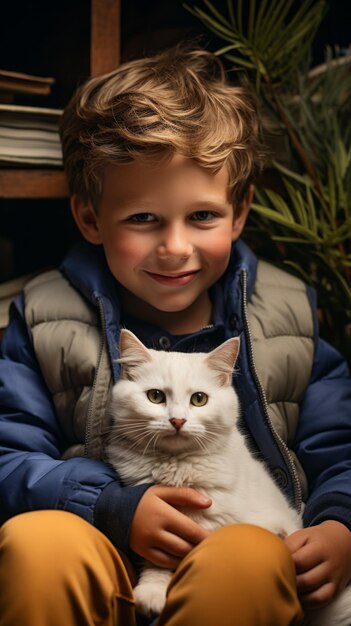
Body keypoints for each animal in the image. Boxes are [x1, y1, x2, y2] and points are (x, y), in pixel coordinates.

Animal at [106, 330, 351, 620]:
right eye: (155, 396)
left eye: (199, 399)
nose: (177, 421)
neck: (178, 465)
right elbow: (158, 556)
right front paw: (153, 590)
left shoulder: (216, 519)